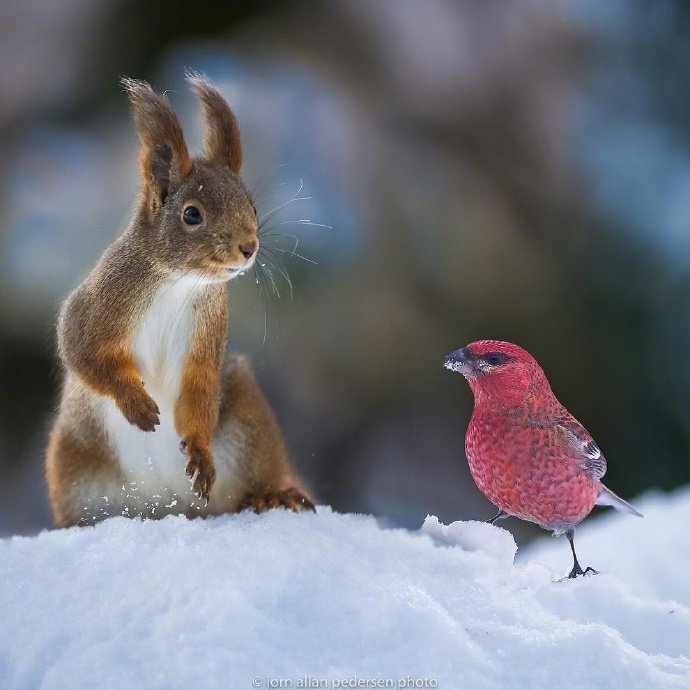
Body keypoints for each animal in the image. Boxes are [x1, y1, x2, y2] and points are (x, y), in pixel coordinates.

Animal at [43, 75, 312, 524]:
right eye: (191, 214)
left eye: (253, 206)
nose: (249, 248)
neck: (178, 282)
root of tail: (169, 506)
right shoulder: (95, 307)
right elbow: (83, 353)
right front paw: (135, 402)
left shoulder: (206, 339)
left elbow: (199, 391)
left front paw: (200, 455)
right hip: (73, 466)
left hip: (247, 421)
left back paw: (274, 495)